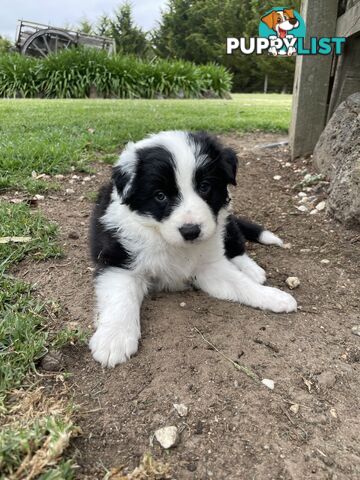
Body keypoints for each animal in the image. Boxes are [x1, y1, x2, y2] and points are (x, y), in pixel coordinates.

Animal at [88, 131, 296, 368]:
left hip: (225, 223)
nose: (191, 231)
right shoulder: (118, 261)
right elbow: (121, 298)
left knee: (236, 244)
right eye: (160, 195)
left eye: (205, 186)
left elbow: (241, 283)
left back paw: (252, 270)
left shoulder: (210, 265)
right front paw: (114, 339)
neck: (166, 240)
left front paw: (273, 297)